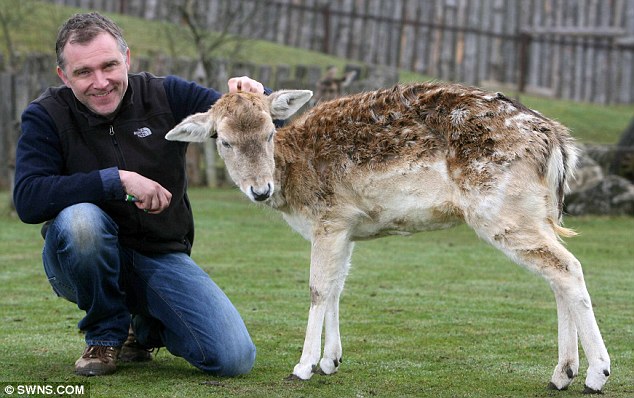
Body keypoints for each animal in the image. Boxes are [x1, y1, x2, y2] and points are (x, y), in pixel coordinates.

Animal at [165, 82, 608, 394]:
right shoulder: (346, 227)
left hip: (502, 210)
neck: (295, 186)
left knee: (568, 268)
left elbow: (317, 289)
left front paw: (304, 366)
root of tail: (557, 141)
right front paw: (331, 361)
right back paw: (562, 374)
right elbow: (337, 288)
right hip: (537, 213)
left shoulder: (330, 218)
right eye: (223, 139)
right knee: (557, 274)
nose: (260, 190)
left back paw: (596, 375)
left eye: (270, 132)